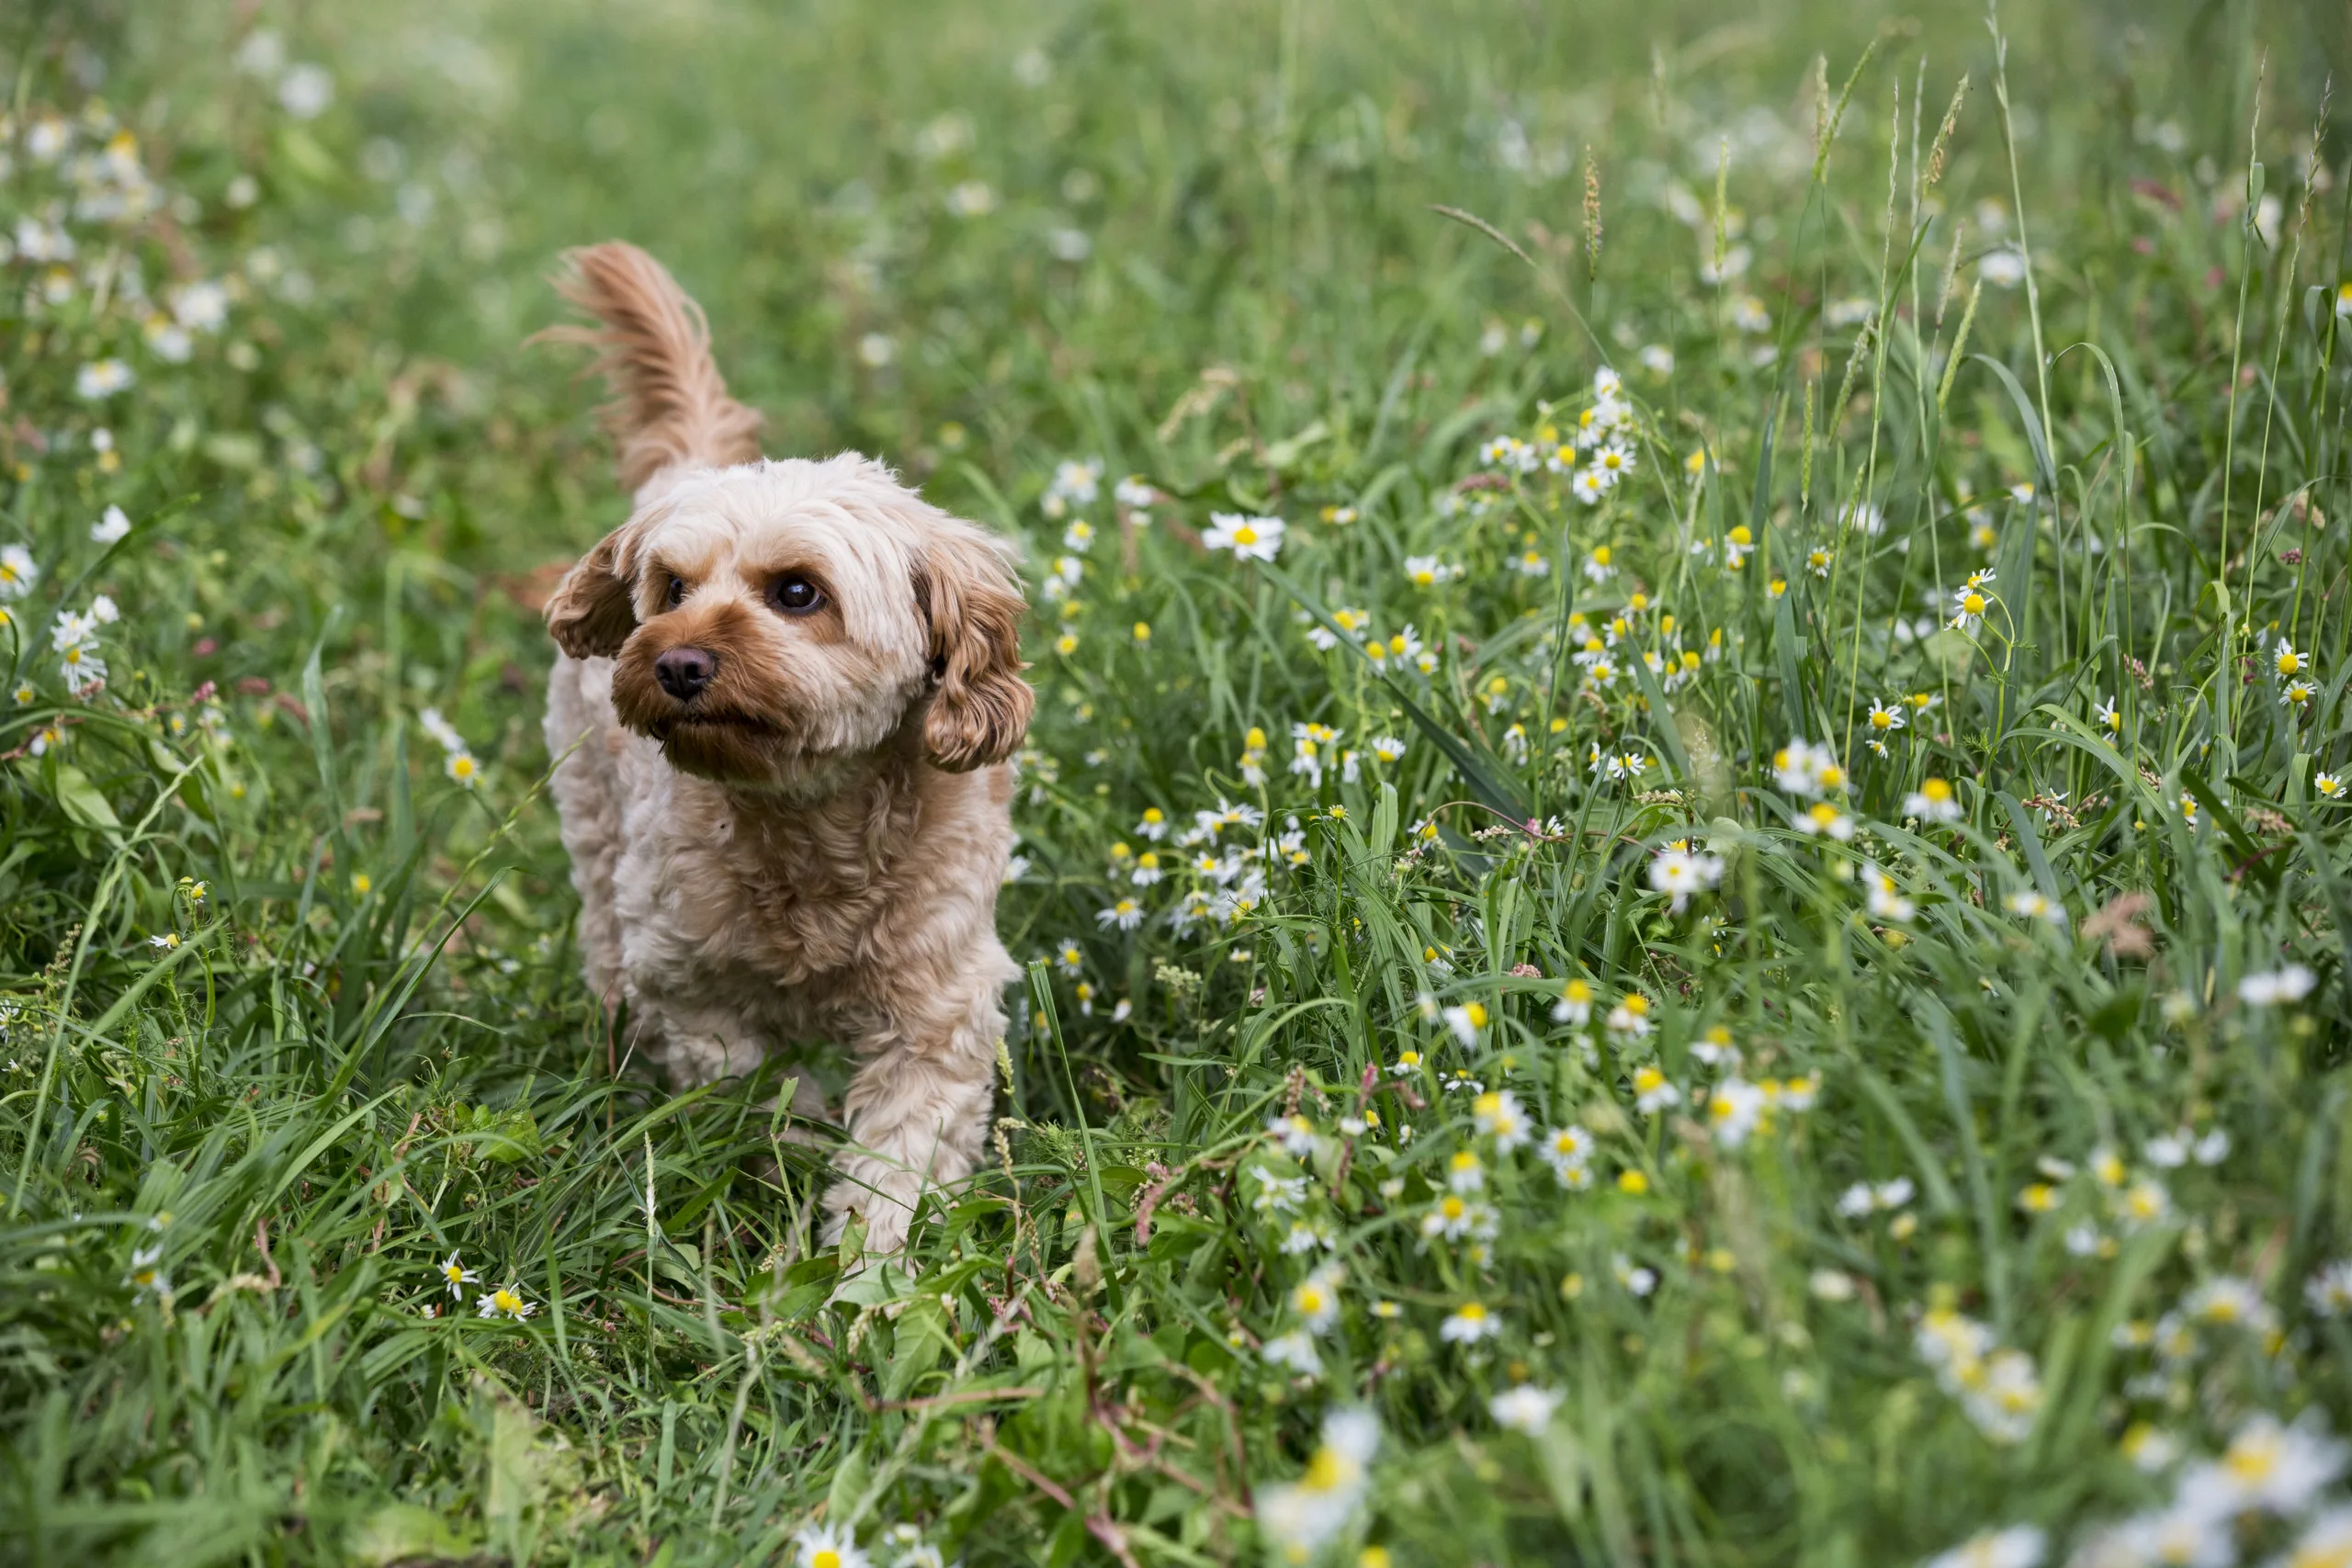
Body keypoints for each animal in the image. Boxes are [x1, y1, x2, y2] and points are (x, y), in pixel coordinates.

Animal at [543, 240, 1039, 1259]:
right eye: (673, 587)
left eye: (798, 591)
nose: (677, 661)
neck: (809, 822)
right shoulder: (686, 984)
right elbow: (758, 1083)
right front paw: (797, 1145)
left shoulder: (938, 1010)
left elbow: (897, 1160)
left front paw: (869, 1272)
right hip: (596, 828)